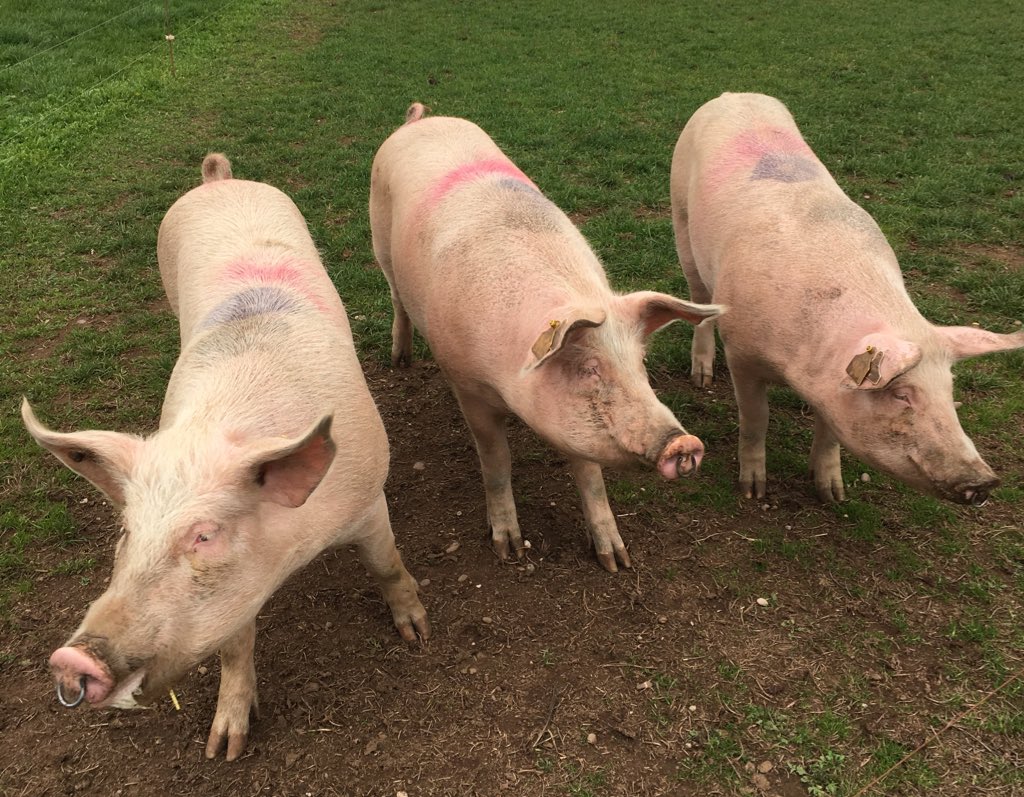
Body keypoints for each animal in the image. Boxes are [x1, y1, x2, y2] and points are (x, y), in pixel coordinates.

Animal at [22, 153, 429, 761]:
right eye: (126, 532)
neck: (295, 551)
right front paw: (224, 749)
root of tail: (219, 181)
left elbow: (386, 564)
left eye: (205, 535)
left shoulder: (367, 496)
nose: (71, 660)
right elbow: (235, 646)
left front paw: (418, 632)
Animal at [369, 103, 723, 573]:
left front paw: (616, 561)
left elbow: (590, 475)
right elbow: (495, 461)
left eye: (641, 364)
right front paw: (509, 550)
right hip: (379, 242)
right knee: (396, 298)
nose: (684, 442)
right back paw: (401, 360)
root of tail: (419, 120)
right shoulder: (469, 387)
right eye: (589, 369)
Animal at [670, 92, 1024, 504]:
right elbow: (756, 419)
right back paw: (702, 378)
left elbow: (830, 433)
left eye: (949, 389)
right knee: (699, 299)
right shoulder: (742, 354)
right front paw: (753, 492)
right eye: (901, 394)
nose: (984, 481)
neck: (802, 363)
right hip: (681, 219)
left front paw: (832, 495)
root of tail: (734, 94)